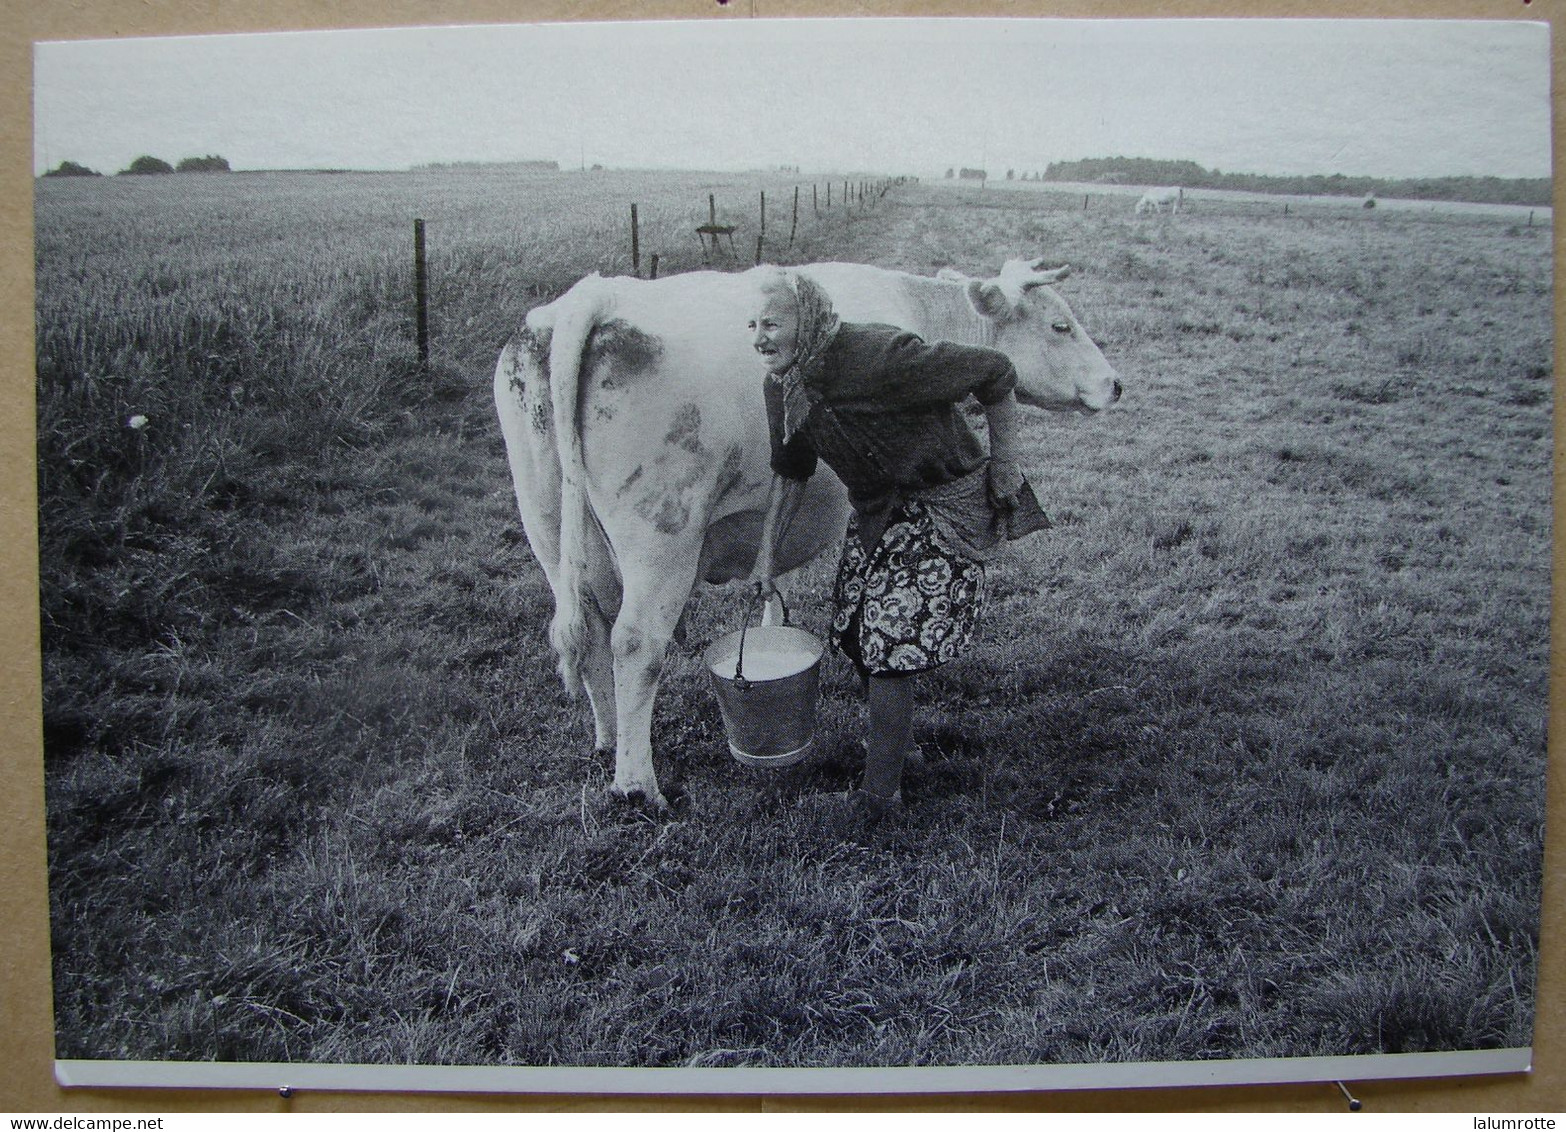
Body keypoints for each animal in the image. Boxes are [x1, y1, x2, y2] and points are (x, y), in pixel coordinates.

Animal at [494, 258, 1121, 807]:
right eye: (1060, 325)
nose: (1115, 385)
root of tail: (592, 297)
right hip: (663, 538)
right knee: (634, 644)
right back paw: (637, 786)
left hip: (550, 530)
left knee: (589, 632)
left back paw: (606, 742)